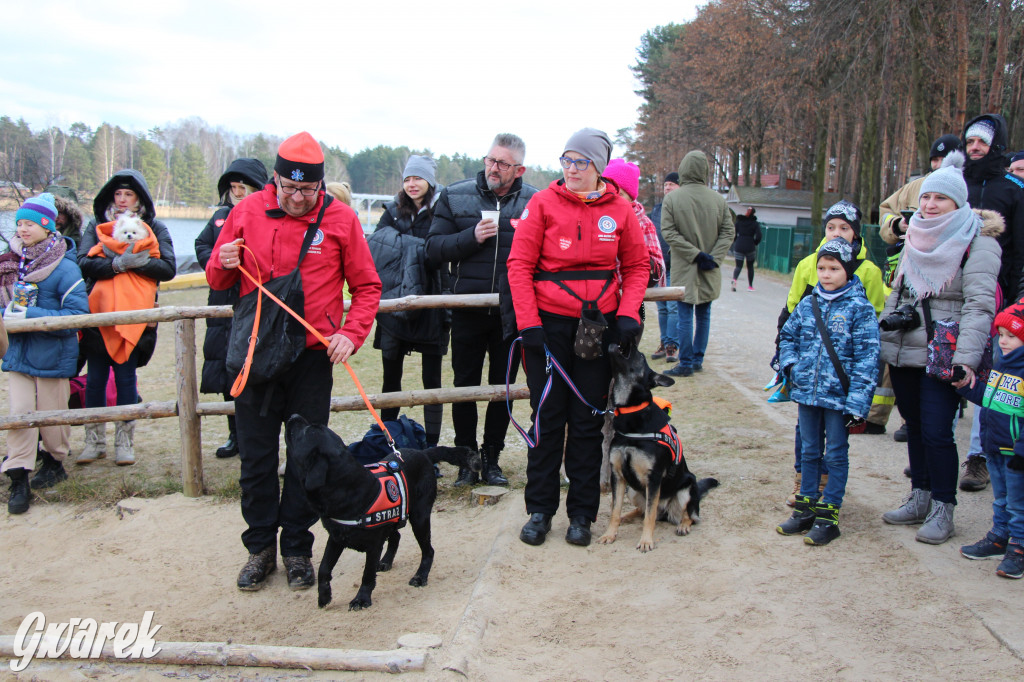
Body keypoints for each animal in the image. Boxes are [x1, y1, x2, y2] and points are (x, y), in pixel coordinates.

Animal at [284, 413, 479, 610]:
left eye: (306, 432)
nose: (293, 415)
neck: (348, 489)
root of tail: (423, 453)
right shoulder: (336, 537)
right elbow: (324, 568)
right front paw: (324, 597)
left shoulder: (373, 545)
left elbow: (367, 574)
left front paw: (361, 599)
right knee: (396, 536)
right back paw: (386, 561)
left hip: (420, 517)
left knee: (428, 551)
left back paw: (420, 576)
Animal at [593, 342, 720, 548]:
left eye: (641, 356)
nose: (628, 341)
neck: (631, 412)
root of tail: (665, 510)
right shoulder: (618, 475)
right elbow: (615, 511)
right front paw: (609, 534)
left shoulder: (653, 478)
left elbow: (649, 516)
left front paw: (646, 541)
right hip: (633, 490)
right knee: (642, 510)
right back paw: (627, 516)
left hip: (686, 488)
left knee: (689, 515)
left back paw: (683, 525)